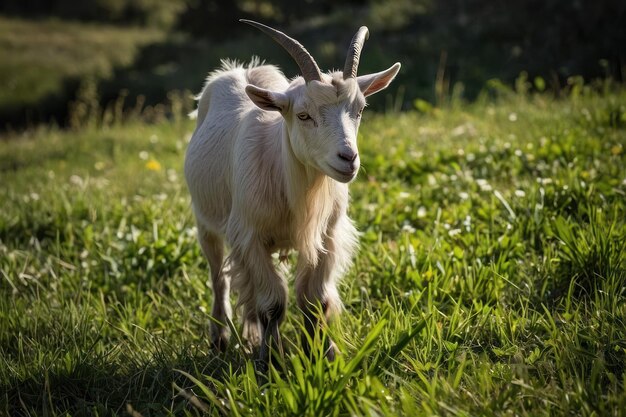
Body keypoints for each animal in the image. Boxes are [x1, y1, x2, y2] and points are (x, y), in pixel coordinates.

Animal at [184, 18, 400, 368]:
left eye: (360, 109)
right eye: (303, 115)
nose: (348, 158)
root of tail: (240, 70)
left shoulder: (325, 235)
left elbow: (315, 301)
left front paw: (323, 354)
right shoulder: (250, 237)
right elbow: (272, 303)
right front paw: (271, 360)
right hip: (205, 221)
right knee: (219, 276)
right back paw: (220, 338)